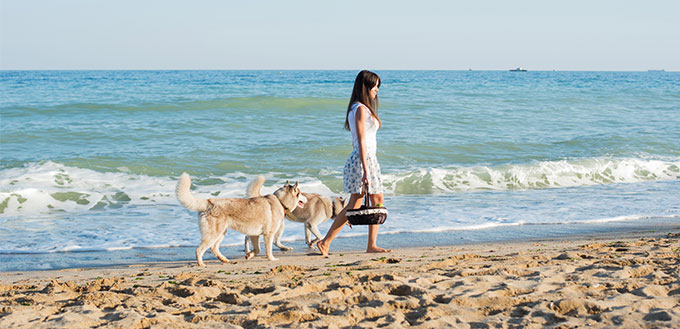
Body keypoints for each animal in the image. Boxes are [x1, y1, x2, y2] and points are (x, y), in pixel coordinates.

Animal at [175, 173, 306, 266]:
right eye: (300, 193)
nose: (306, 198)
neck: (280, 201)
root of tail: (209, 202)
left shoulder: (254, 235)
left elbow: (257, 249)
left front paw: (249, 255)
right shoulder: (268, 234)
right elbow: (268, 250)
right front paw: (272, 259)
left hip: (221, 233)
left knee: (214, 248)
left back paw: (224, 259)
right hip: (213, 234)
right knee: (199, 249)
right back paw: (201, 264)